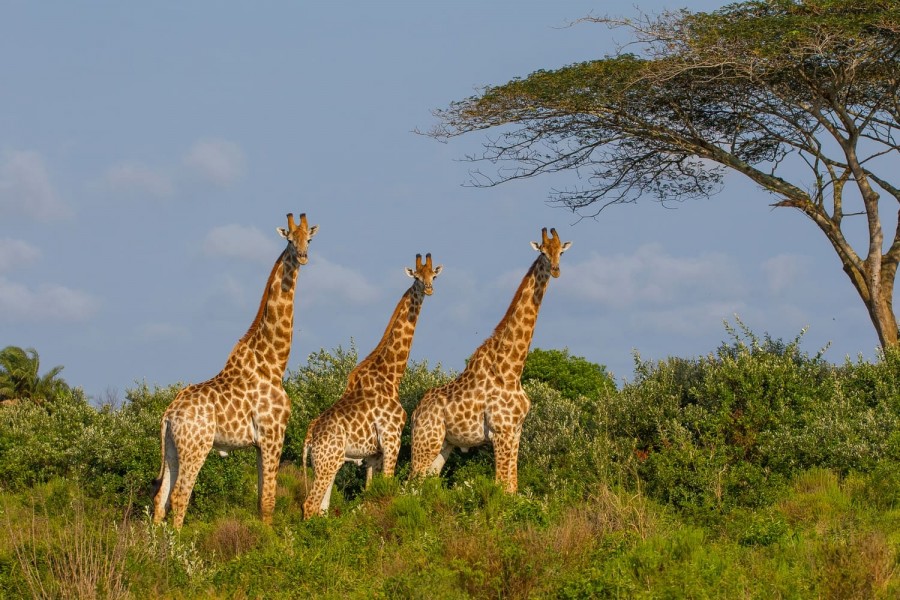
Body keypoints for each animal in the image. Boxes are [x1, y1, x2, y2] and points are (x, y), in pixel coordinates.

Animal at [153, 213, 318, 529]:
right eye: (290, 240)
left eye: (310, 239)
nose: (303, 256)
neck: (273, 363)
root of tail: (168, 415)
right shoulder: (273, 433)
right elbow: (269, 501)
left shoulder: (259, 443)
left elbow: (260, 500)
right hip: (196, 446)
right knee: (180, 497)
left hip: (172, 449)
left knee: (160, 500)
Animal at [302, 253, 442, 518]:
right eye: (417, 277)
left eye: (434, 275)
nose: (429, 289)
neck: (390, 376)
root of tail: (308, 437)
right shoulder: (392, 439)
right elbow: (387, 489)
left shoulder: (373, 455)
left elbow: (369, 494)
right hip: (327, 462)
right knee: (309, 505)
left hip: (326, 463)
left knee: (322, 507)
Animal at [410, 227, 571, 493]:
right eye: (543, 252)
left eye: (561, 252)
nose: (556, 270)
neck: (512, 369)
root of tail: (415, 412)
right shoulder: (501, 431)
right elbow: (502, 485)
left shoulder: (515, 431)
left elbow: (513, 486)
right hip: (426, 440)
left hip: (444, 444)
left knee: (424, 482)